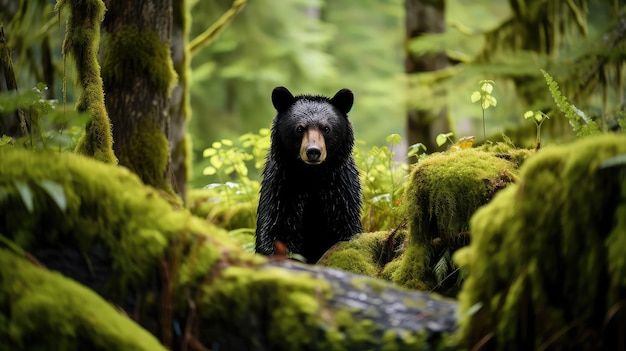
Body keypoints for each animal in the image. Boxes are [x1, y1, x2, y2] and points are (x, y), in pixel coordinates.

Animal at [254, 87, 360, 264]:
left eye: (326, 128)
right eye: (299, 128)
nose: (313, 151)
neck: (311, 175)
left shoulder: (340, 188)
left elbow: (345, 226)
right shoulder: (282, 186)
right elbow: (277, 229)